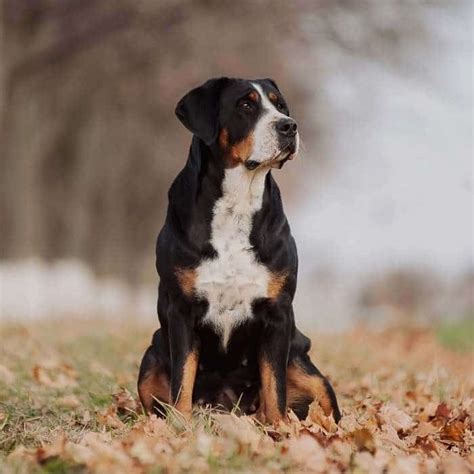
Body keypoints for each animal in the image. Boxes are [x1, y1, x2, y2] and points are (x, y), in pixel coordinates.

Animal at [137, 76, 340, 424]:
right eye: (246, 105)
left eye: (281, 106)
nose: (289, 126)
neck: (238, 202)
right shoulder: (181, 309)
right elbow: (182, 378)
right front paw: (180, 426)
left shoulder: (278, 313)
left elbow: (274, 386)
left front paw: (279, 428)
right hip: (151, 355)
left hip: (306, 365)